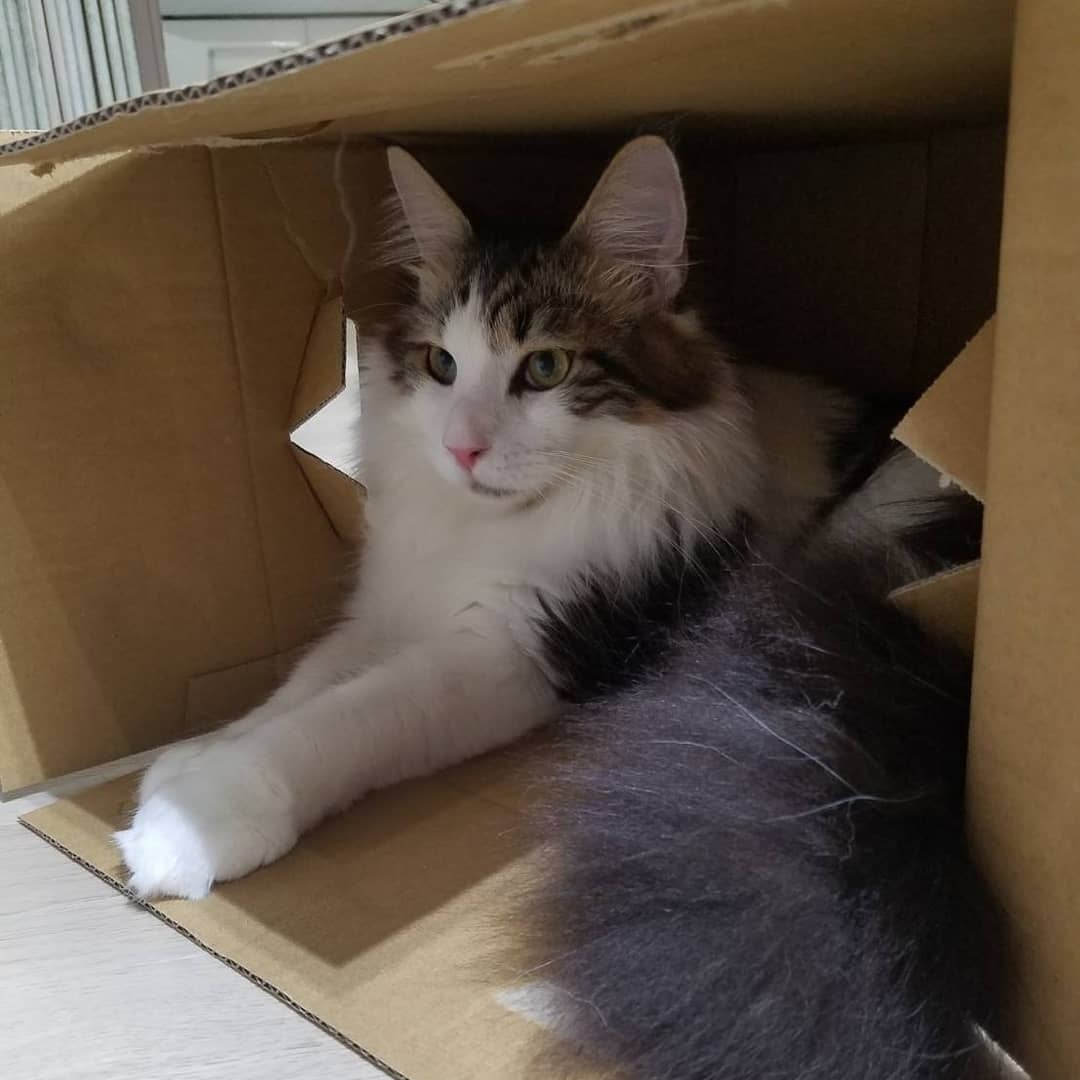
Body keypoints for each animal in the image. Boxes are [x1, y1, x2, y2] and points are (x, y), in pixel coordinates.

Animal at [116, 136, 918, 908]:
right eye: (441, 365)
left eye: (546, 368)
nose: (461, 447)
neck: (487, 527)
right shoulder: (388, 606)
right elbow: (302, 683)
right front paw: (192, 758)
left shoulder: (513, 648)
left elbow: (335, 721)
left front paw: (191, 826)